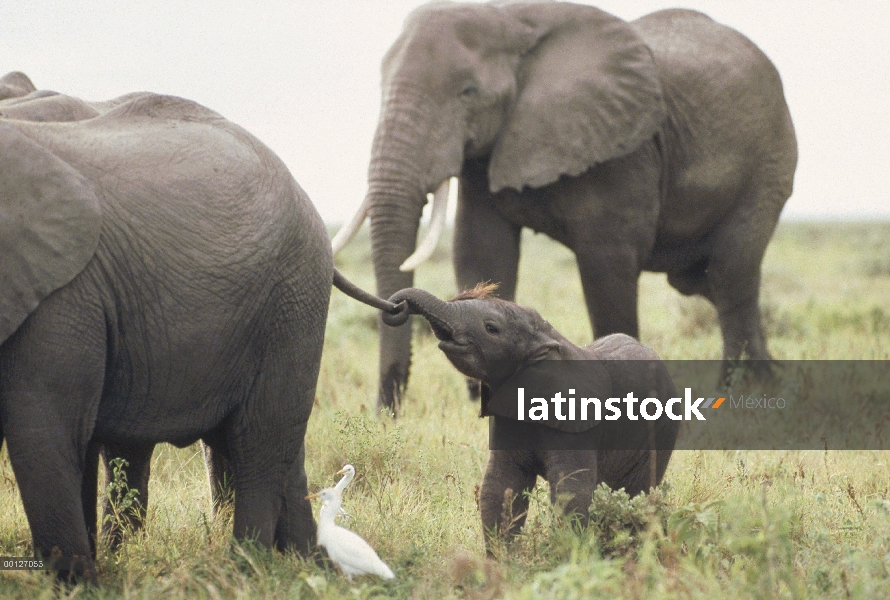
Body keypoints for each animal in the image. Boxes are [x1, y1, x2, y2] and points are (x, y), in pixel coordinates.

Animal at [0, 75, 398, 576]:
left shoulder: (61, 293)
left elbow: (45, 435)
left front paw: (81, 583)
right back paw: (306, 561)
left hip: (293, 295)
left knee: (258, 439)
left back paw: (248, 567)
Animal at [332, 0, 796, 412]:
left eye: (468, 92)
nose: (385, 413)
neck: (510, 21)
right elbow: (481, 251)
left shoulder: (620, 148)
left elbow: (607, 264)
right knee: (702, 279)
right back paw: (770, 378)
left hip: (767, 164)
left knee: (731, 271)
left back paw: (744, 389)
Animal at [384, 284, 680, 552]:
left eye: (491, 328)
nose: (397, 307)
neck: (544, 341)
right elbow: (501, 487)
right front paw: (502, 563)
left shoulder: (576, 423)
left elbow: (571, 492)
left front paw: (565, 555)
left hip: (662, 432)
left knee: (638, 491)